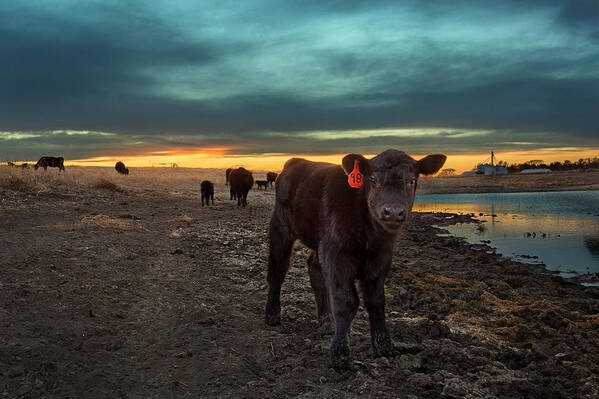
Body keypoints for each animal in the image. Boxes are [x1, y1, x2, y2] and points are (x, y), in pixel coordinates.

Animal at [266, 149, 446, 372]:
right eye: (373, 179)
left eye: (412, 180)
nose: (393, 212)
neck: (370, 234)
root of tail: (295, 161)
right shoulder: (337, 256)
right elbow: (346, 301)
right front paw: (341, 355)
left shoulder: (381, 258)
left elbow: (376, 300)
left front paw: (384, 346)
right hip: (281, 225)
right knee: (278, 269)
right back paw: (272, 314)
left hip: (320, 241)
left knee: (314, 268)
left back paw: (326, 321)